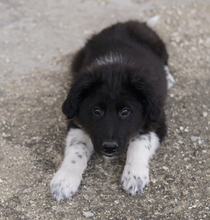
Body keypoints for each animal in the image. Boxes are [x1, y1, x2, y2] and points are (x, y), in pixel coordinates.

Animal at [50, 16, 175, 201]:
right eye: (96, 111)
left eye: (125, 112)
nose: (109, 147)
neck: (114, 67)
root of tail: (127, 23)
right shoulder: (76, 121)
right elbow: (77, 148)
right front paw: (64, 180)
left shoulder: (156, 119)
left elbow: (140, 142)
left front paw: (135, 176)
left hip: (157, 44)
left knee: (165, 60)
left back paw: (168, 77)